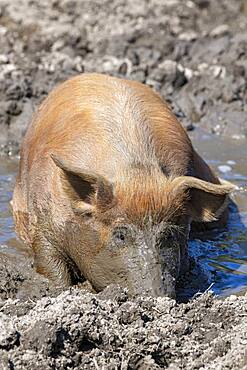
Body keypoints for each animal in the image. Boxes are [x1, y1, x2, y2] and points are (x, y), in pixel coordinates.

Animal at [12, 72, 235, 298]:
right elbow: (51, 264)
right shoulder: (43, 218)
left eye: (168, 234)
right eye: (120, 235)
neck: (134, 173)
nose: (155, 296)